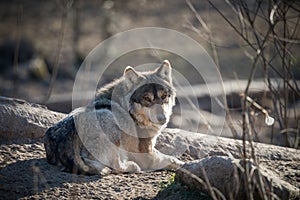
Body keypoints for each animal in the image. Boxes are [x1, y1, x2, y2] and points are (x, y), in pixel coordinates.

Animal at [43, 59, 182, 175]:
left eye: (164, 96)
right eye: (147, 99)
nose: (162, 118)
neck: (131, 111)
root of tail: (63, 140)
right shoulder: (146, 154)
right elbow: (173, 160)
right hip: (110, 119)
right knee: (116, 166)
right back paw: (133, 166)